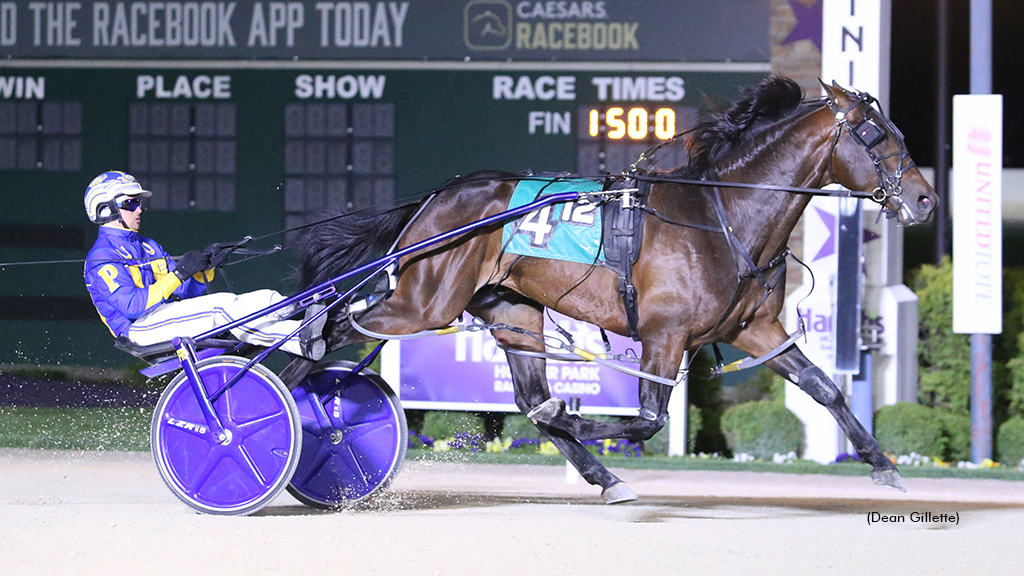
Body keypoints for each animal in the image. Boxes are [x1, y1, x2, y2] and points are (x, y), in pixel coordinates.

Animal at [278, 77, 937, 502]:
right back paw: (271, 394)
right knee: (328, 326)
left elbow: (825, 387)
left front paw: (881, 464)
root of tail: (438, 198)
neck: (722, 214)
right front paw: (576, 418)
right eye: (876, 136)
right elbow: (643, 421)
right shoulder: (664, 335)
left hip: (513, 310)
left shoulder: (755, 329)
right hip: (423, 300)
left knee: (527, 396)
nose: (926, 199)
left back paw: (603, 477)